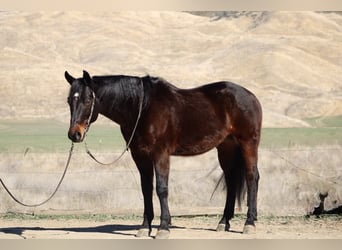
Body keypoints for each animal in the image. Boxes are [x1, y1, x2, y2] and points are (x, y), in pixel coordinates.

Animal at [64, 70, 262, 238]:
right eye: (69, 100)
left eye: (88, 99)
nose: (75, 134)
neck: (142, 108)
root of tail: (250, 96)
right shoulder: (140, 156)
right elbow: (146, 189)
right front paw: (145, 227)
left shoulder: (161, 154)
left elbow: (161, 188)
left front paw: (163, 227)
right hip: (226, 148)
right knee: (231, 180)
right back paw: (223, 222)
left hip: (248, 143)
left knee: (252, 177)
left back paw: (249, 223)